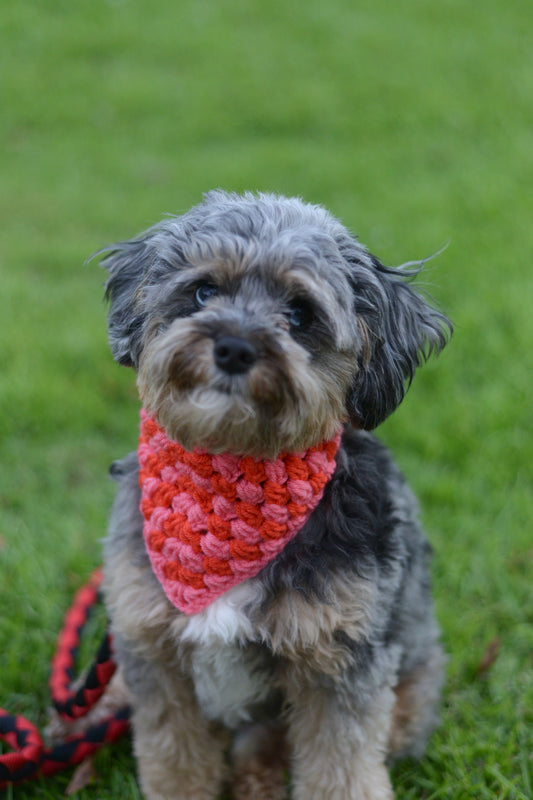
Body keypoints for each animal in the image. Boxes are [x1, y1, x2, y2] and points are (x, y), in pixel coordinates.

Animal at [97, 192, 450, 800]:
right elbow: (175, 763)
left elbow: (341, 773)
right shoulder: (154, 652)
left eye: (300, 314)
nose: (235, 347)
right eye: (204, 291)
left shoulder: (340, 665)